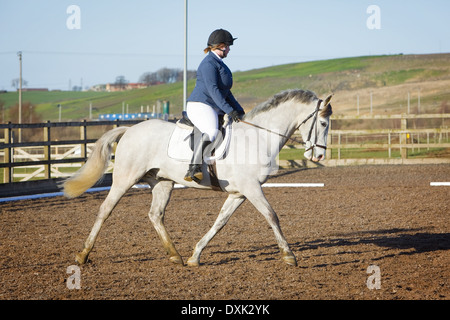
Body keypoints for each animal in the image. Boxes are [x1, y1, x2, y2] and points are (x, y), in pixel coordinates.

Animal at [65, 89, 334, 268]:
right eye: (322, 123)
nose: (320, 155)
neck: (258, 137)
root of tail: (130, 129)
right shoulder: (251, 188)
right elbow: (272, 215)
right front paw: (289, 255)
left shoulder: (239, 193)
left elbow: (220, 222)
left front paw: (195, 256)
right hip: (125, 178)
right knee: (105, 209)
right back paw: (82, 255)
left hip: (162, 182)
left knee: (155, 215)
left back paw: (175, 255)